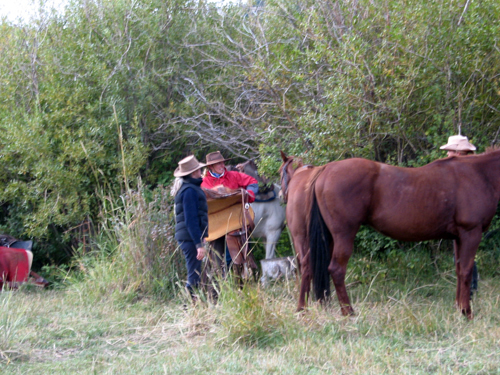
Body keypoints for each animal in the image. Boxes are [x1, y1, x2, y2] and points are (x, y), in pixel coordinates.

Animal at [280, 150, 500, 320]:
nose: (282, 195)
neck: (479, 174)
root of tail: (324, 170)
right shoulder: (470, 233)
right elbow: (466, 271)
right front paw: (466, 312)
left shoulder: (458, 237)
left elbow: (459, 269)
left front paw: (459, 307)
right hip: (343, 235)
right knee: (336, 269)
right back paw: (348, 311)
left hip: (328, 238)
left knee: (311, 265)